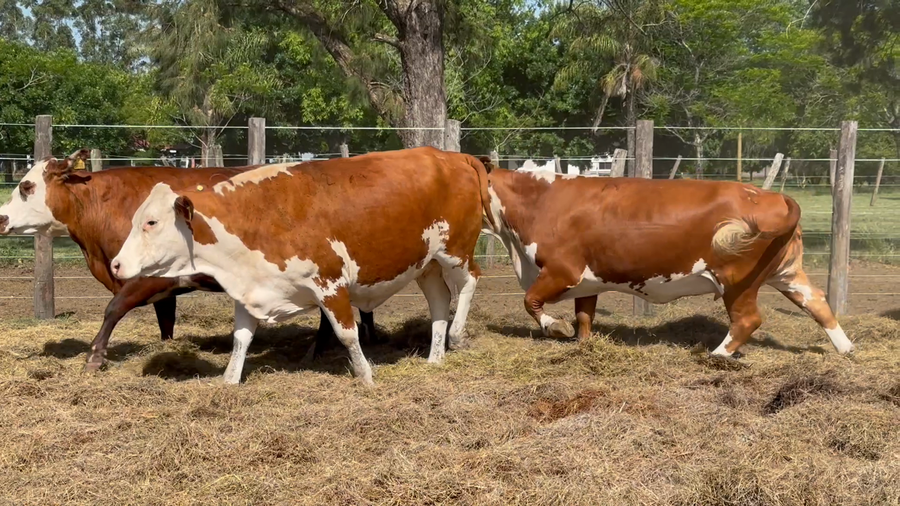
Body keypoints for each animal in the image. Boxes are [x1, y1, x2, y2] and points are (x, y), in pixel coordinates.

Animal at [0, 151, 378, 370]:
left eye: (26, 186)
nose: (1, 218)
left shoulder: (146, 278)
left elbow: (113, 310)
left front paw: (95, 357)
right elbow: (165, 321)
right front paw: (168, 347)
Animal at [109, 147, 495, 385]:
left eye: (151, 222)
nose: (116, 264)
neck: (261, 215)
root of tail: (455, 156)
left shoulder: (330, 284)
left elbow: (347, 333)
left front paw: (366, 376)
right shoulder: (251, 289)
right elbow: (241, 339)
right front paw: (229, 381)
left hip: (456, 251)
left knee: (471, 281)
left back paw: (456, 335)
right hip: (426, 263)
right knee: (440, 300)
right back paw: (435, 356)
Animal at [479, 161, 855, 358]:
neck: (540, 201)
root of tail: (771, 195)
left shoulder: (562, 271)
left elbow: (531, 301)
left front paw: (555, 327)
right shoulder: (588, 279)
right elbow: (584, 316)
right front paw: (583, 345)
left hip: (737, 280)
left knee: (748, 319)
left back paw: (716, 355)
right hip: (786, 273)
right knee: (816, 302)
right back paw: (846, 348)